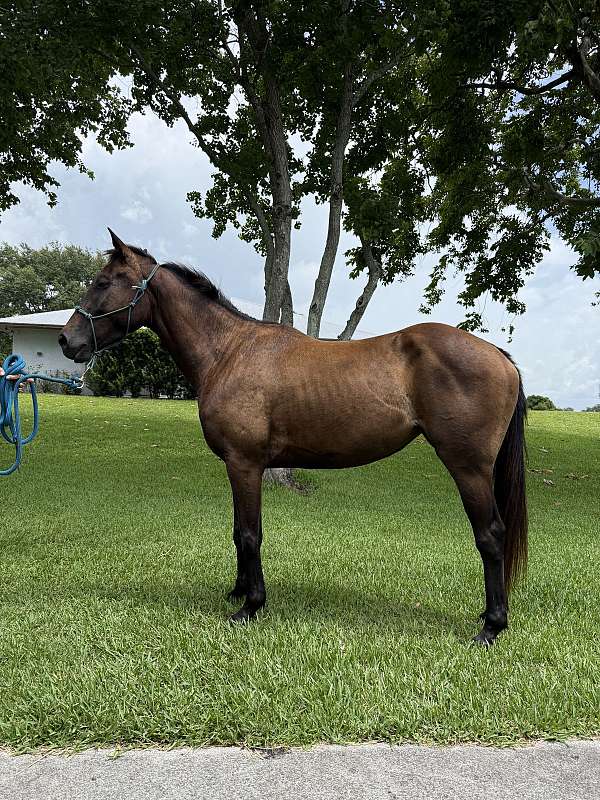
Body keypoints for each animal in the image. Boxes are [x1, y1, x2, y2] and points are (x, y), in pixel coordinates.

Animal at [59, 229, 527, 646]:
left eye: (103, 282)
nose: (67, 340)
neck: (229, 351)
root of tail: (499, 356)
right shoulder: (239, 466)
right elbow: (237, 531)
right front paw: (237, 591)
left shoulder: (245, 463)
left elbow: (251, 533)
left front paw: (250, 606)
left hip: (468, 467)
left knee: (490, 536)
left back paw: (491, 627)